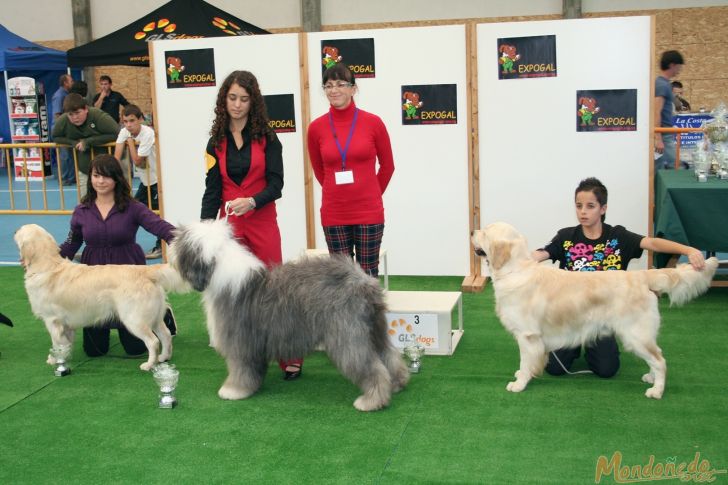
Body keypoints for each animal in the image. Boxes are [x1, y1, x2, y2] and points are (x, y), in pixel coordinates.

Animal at [14, 224, 189, 370]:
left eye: (21, 230)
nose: (15, 231)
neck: (47, 266)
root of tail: (146, 271)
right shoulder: (65, 323)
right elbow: (65, 343)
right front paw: (64, 357)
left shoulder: (52, 320)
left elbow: (56, 343)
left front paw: (54, 359)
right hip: (154, 316)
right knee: (166, 335)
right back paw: (164, 357)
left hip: (134, 319)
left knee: (153, 341)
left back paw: (148, 364)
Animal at [171, 221, 410, 410]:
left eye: (182, 241)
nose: (170, 246)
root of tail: (361, 280)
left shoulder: (240, 342)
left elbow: (240, 369)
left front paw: (233, 390)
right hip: (374, 329)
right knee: (389, 355)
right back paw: (397, 384)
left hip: (347, 337)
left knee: (371, 367)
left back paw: (371, 401)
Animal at [472, 222, 716, 398]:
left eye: (485, 232)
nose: (472, 230)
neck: (515, 270)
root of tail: (641, 275)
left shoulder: (528, 335)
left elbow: (525, 361)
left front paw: (519, 383)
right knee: (656, 356)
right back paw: (651, 377)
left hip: (634, 334)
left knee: (660, 360)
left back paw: (657, 390)